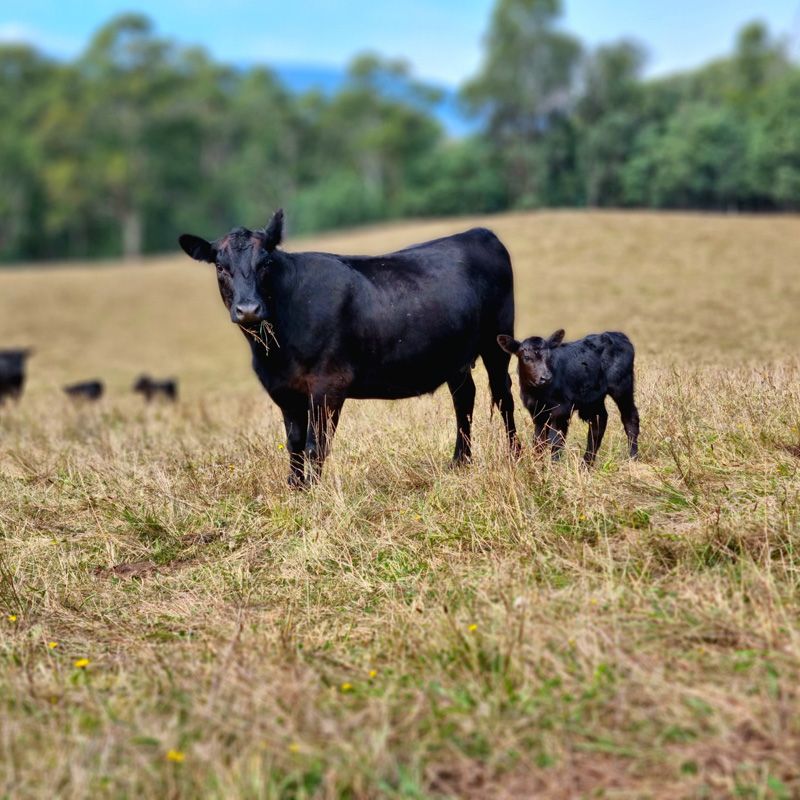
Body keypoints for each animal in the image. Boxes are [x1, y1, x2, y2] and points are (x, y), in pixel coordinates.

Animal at [179, 210, 519, 487]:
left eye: (265, 263)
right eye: (221, 267)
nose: (248, 309)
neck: (274, 354)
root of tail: (477, 232)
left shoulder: (328, 384)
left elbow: (316, 444)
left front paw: (314, 491)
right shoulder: (283, 389)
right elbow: (294, 442)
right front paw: (295, 487)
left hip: (497, 340)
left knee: (503, 396)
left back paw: (515, 455)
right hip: (454, 355)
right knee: (464, 398)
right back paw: (460, 461)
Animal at [498, 329, 639, 465]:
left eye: (549, 356)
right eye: (526, 357)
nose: (546, 377)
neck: (538, 394)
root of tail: (617, 334)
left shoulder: (562, 410)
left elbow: (556, 442)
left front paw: (554, 468)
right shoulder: (537, 413)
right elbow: (538, 443)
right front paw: (537, 467)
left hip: (622, 386)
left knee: (630, 418)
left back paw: (632, 458)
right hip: (594, 398)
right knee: (599, 423)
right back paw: (586, 465)